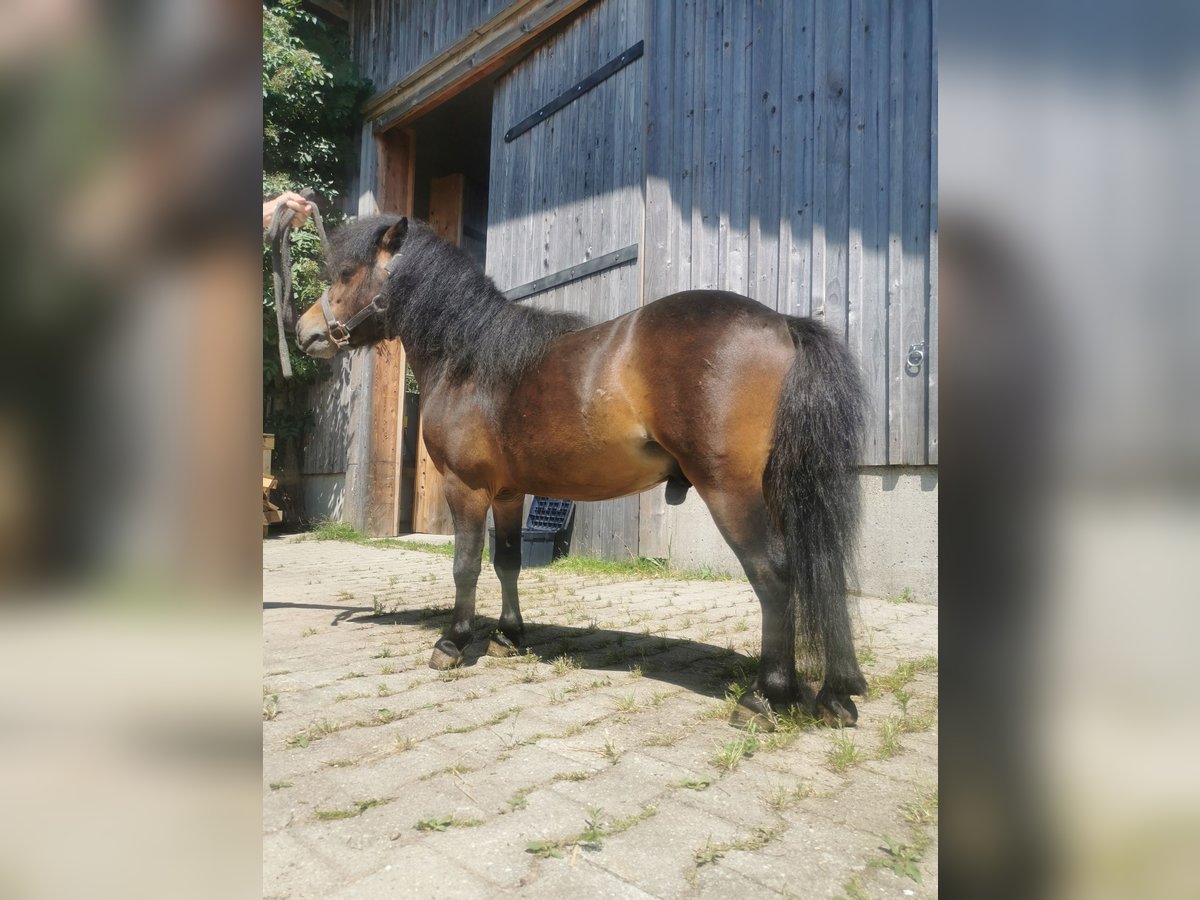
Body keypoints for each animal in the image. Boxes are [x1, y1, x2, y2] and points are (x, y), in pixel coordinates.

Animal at [295, 218, 868, 734]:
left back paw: (766, 696)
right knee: (817, 569)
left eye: (345, 273)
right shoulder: (510, 493)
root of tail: (783, 322)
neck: (470, 362)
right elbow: (507, 563)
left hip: (730, 490)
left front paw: (452, 642)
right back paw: (835, 694)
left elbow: (465, 566)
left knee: (774, 575)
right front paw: (508, 636)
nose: (305, 332)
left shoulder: (468, 488)